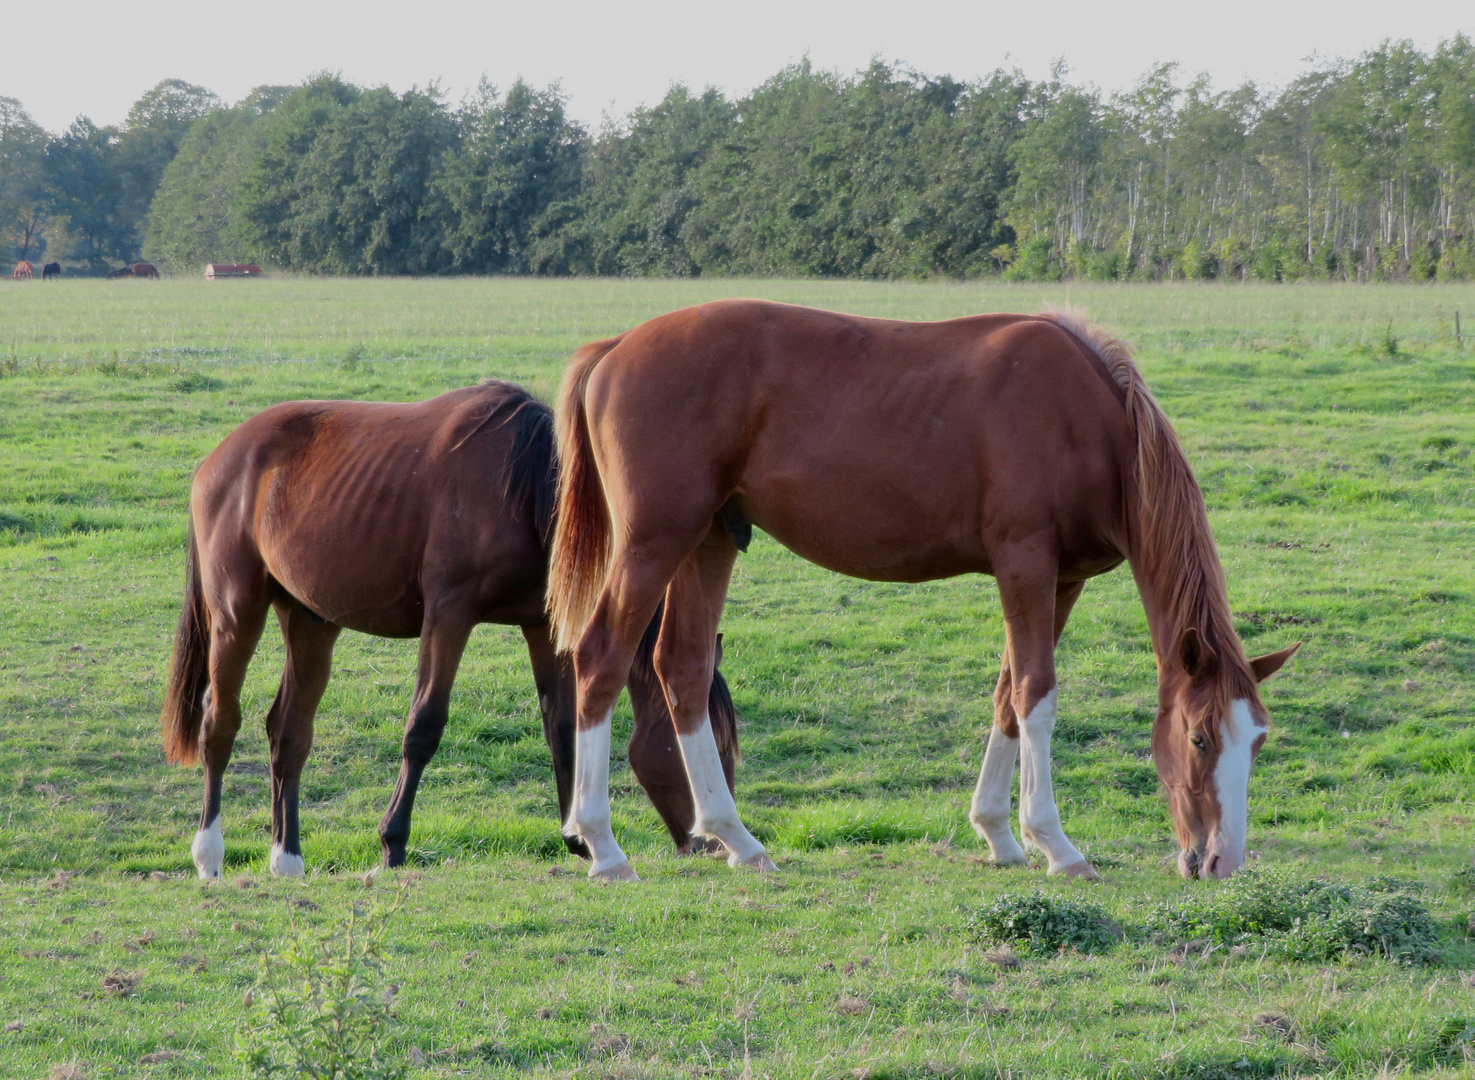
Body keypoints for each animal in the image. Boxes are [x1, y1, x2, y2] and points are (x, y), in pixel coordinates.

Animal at [162, 380, 743, 879]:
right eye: (708, 744)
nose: (714, 845)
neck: (522, 485)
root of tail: (220, 459)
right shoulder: (448, 615)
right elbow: (424, 726)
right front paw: (392, 842)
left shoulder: (541, 625)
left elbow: (561, 727)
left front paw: (578, 839)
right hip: (237, 615)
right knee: (219, 725)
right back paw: (209, 855)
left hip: (310, 622)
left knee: (288, 734)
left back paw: (287, 859)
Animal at [548, 299, 1298, 879]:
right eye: (1199, 739)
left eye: (1258, 741)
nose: (1220, 861)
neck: (1085, 421)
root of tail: (614, 348)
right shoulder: (1025, 563)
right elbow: (1036, 696)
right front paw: (1055, 845)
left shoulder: (1063, 580)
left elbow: (1008, 693)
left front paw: (999, 834)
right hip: (654, 542)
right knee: (600, 659)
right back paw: (603, 846)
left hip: (708, 540)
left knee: (683, 667)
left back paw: (738, 840)